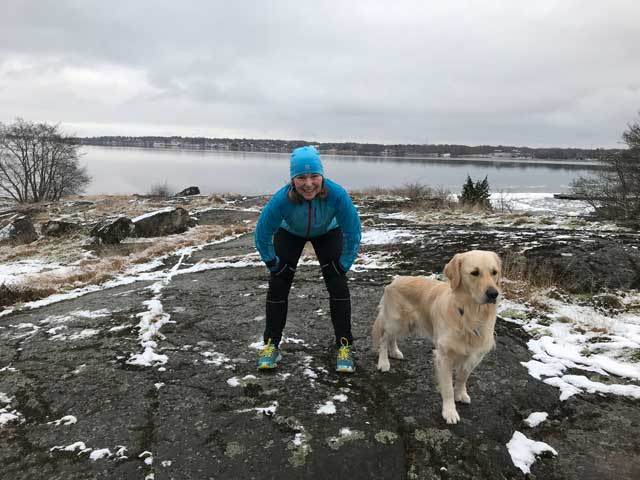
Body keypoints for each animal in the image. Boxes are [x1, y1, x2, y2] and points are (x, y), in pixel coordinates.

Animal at [372, 251, 502, 424]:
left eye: (494, 272)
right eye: (475, 273)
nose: (494, 294)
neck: (469, 314)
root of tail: (394, 281)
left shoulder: (475, 354)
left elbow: (463, 377)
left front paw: (461, 394)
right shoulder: (444, 356)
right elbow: (447, 388)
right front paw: (450, 412)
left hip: (406, 325)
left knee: (391, 338)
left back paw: (395, 352)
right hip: (396, 321)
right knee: (384, 338)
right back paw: (384, 362)